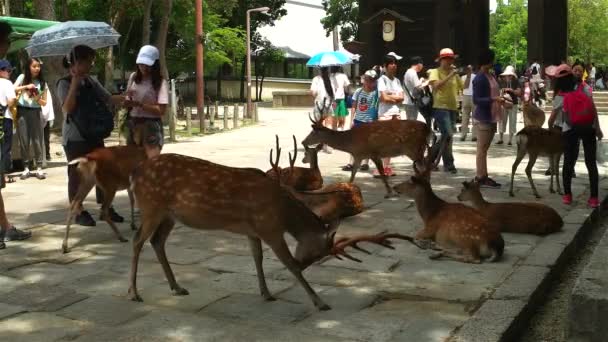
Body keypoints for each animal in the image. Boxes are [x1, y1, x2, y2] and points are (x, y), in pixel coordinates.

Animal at [127, 152, 408, 310]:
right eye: (319, 252)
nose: (306, 263)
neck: (283, 211)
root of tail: (135, 173)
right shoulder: (270, 228)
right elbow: (287, 264)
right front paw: (320, 302)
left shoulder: (254, 230)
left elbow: (257, 258)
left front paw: (266, 293)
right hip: (151, 205)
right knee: (137, 240)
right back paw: (134, 293)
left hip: (169, 215)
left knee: (157, 241)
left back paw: (177, 287)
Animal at [302, 105, 434, 199]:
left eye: (313, 132)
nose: (303, 141)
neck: (351, 142)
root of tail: (427, 129)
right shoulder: (359, 155)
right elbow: (353, 173)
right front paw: (347, 188)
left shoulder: (373, 152)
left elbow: (381, 173)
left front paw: (389, 193)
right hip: (419, 149)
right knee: (426, 165)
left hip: (414, 148)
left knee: (424, 166)